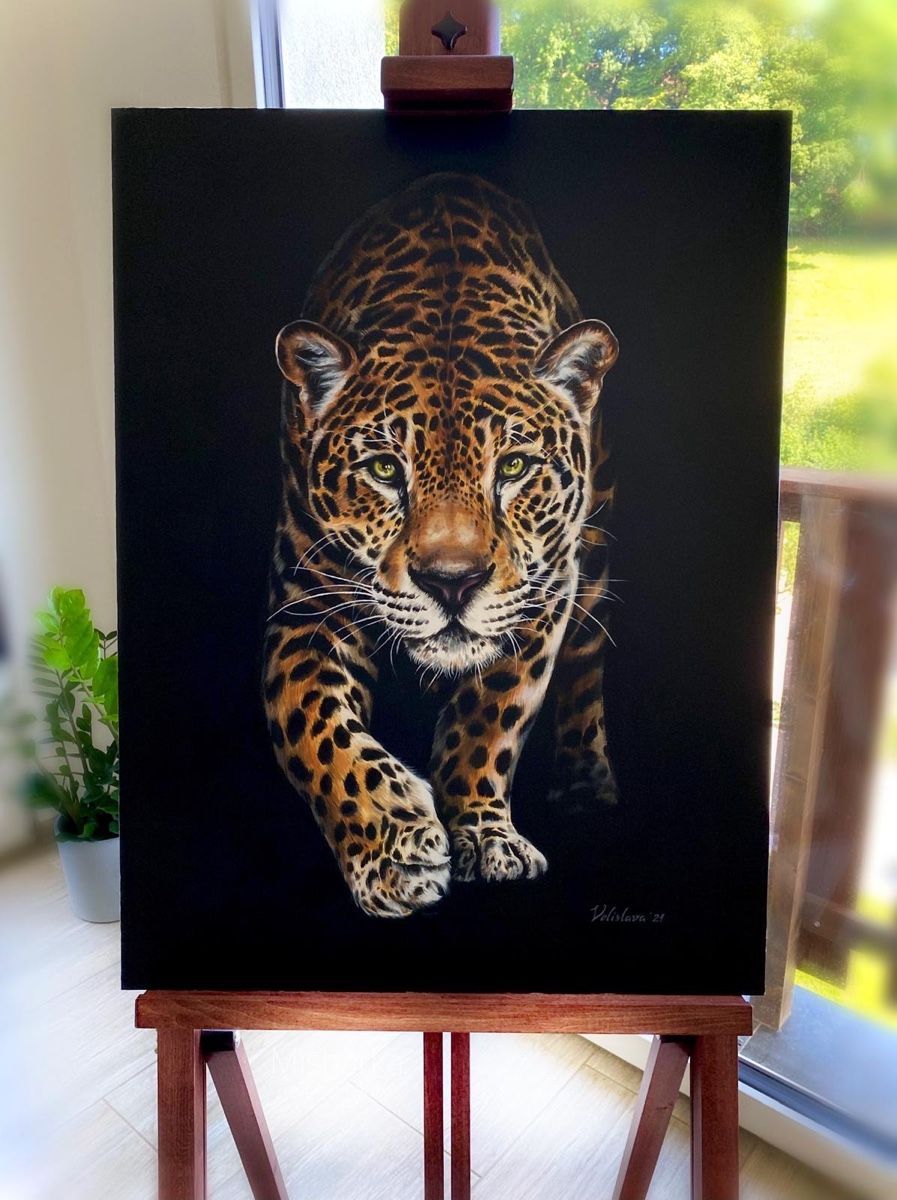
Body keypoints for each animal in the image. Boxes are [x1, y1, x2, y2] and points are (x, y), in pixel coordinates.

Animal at [263, 172, 619, 918]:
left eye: (514, 467)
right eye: (384, 469)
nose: (452, 581)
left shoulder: (544, 590)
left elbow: (490, 716)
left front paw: (484, 835)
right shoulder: (305, 608)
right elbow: (318, 731)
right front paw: (395, 851)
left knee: (587, 659)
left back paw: (584, 779)